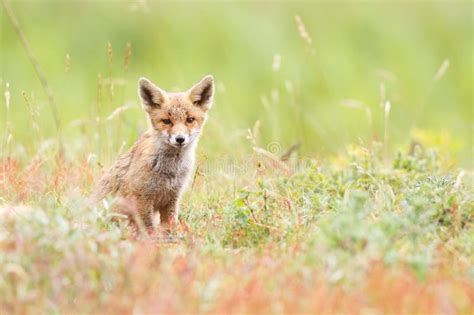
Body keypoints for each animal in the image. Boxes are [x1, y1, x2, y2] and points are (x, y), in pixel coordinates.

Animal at [92, 74, 215, 232]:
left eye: (190, 120)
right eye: (167, 121)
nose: (180, 139)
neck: (170, 170)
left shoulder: (172, 197)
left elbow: (170, 225)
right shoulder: (142, 198)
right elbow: (148, 228)